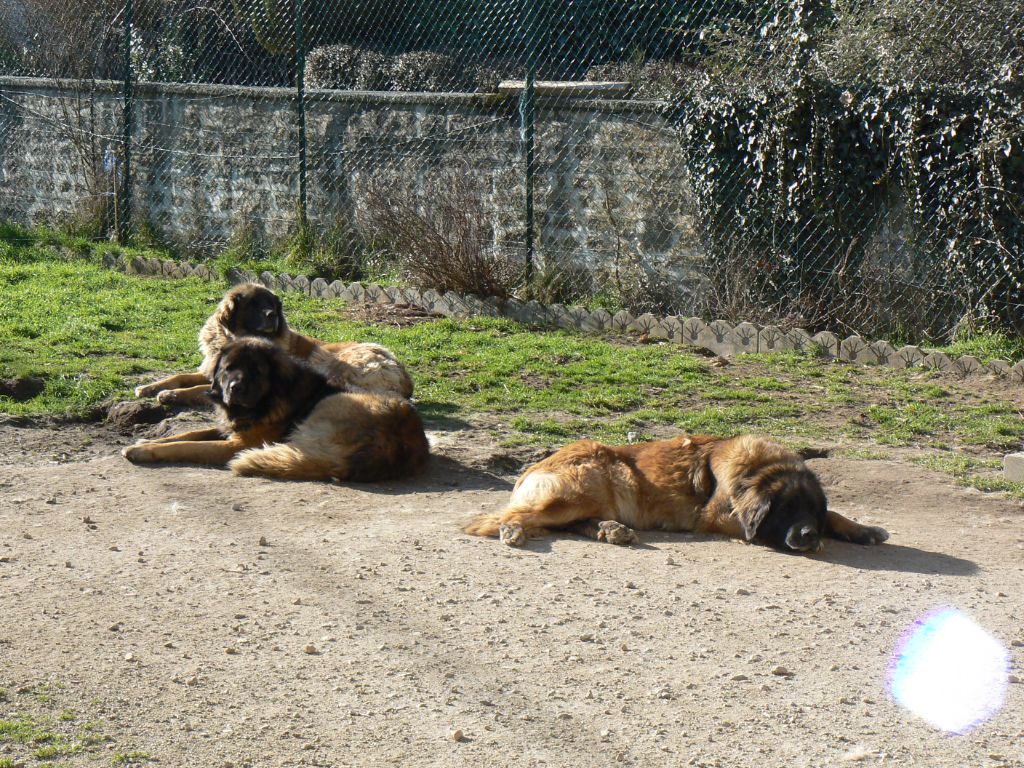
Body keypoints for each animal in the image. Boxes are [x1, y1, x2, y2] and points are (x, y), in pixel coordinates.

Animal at [121, 335, 430, 481]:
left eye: (256, 371)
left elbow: (185, 446)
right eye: (228, 368)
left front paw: (142, 450)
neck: (269, 399)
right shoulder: (232, 429)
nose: (235, 388)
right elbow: (184, 435)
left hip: (330, 405)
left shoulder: (236, 443)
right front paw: (147, 441)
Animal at [136, 280, 411, 403]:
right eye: (254, 304)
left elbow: (195, 389)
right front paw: (150, 387)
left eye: (271, 304)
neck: (231, 337)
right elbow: (178, 376)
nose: (272, 315)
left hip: (334, 360)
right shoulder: (209, 369)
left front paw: (170, 395)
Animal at [464, 434, 888, 552]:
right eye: (785, 510)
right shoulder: (716, 516)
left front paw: (862, 529)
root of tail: (531, 468)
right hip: (594, 479)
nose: (809, 535)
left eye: (811, 511)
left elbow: (837, 513)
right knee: (511, 517)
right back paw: (511, 530)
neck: (760, 470)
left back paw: (611, 530)